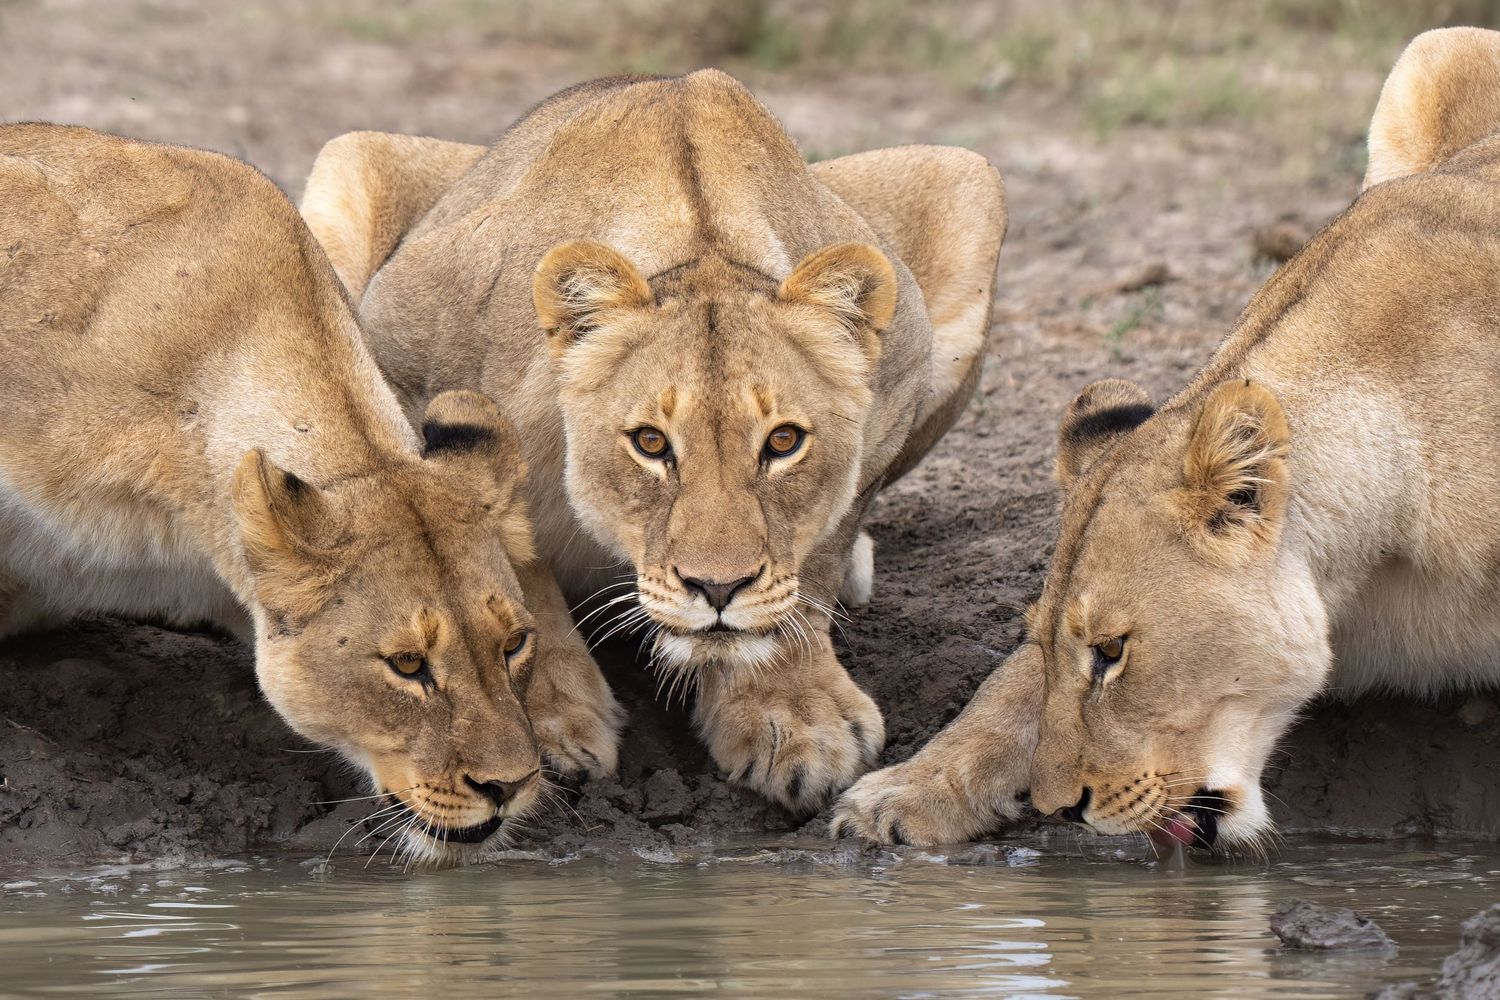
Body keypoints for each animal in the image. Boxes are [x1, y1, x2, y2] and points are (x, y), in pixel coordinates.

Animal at [299, 71, 1007, 811]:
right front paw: (548, 724)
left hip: (968, 177)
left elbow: (818, 551)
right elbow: (508, 566)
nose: (717, 589)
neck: (702, 239)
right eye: (649, 443)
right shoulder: (405, 371)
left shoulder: (896, 387)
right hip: (348, 163)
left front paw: (793, 715)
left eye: (783, 442)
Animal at [835, 26, 1500, 849]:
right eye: (1046, 643)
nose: (1062, 807)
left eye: (1113, 653)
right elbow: (1003, 693)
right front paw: (902, 790)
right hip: (1441, 47)